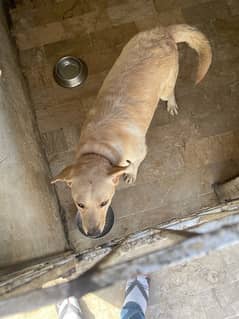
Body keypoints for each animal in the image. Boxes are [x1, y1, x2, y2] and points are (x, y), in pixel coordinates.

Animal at [52, 24, 211, 238]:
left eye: (104, 203)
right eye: (80, 204)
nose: (93, 233)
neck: (99, 148)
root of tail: (164, 31)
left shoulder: (141, 152)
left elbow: (134, 165)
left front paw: (131, 173)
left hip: (164, 89)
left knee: (169, 93)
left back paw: (171, 104)